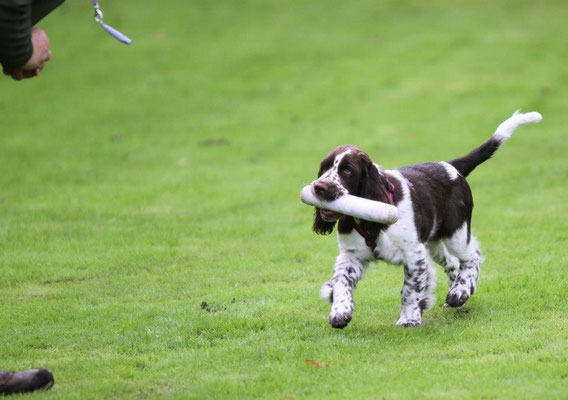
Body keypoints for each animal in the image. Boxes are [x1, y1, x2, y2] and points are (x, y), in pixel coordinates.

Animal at [310, 110, 540, 328]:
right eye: (324, 167)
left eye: (348, 170)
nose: (318, 187)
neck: (366, 221)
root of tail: (450, 166)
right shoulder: (351, 255)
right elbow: (341, 282)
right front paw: (340, 311)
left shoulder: (413, 253)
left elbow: (409, 290)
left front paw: (409, 320)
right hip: (434, 242)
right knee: (452, 262)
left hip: (455, 233)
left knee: (472, 256)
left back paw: (460, 291)